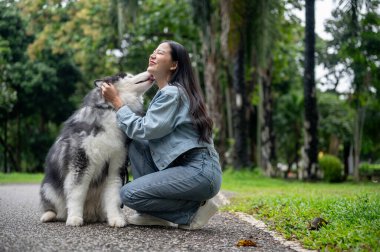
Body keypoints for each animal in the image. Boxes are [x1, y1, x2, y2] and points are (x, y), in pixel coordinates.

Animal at [39, 70, 154, 226]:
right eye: (129, 76)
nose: (150, 72)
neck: (112, 110)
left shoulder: (116, 165)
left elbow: (113, 194)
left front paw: (115, 218)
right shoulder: (81, 163)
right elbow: (77, 193)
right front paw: (74, 218)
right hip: (48, 187)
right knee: (55, 207)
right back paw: (49, 215)